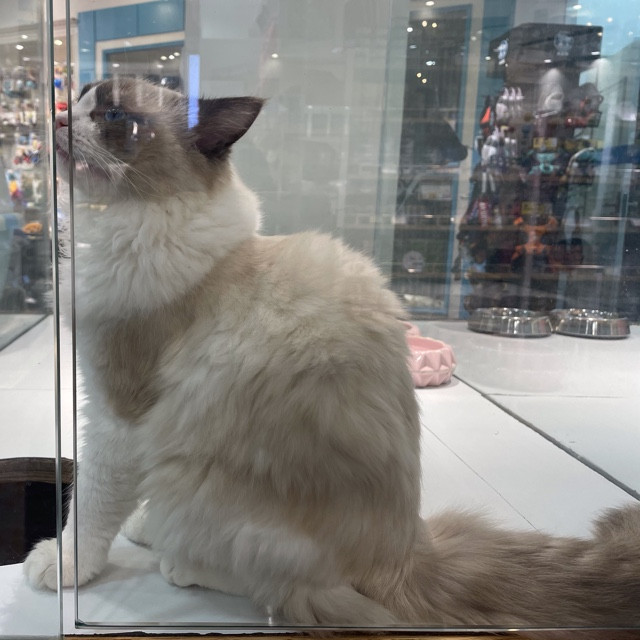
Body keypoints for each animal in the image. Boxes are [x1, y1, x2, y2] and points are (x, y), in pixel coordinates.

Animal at [24, 77, 640, 633]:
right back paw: (151, 529)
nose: (58, 114)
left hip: (192, 480)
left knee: (283, 591)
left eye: (112, 116)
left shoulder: (117, 415)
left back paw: (178, 561)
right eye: (78, 97)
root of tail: (405, 555)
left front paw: (65, 564)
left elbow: (90, 504)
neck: (120, 222)